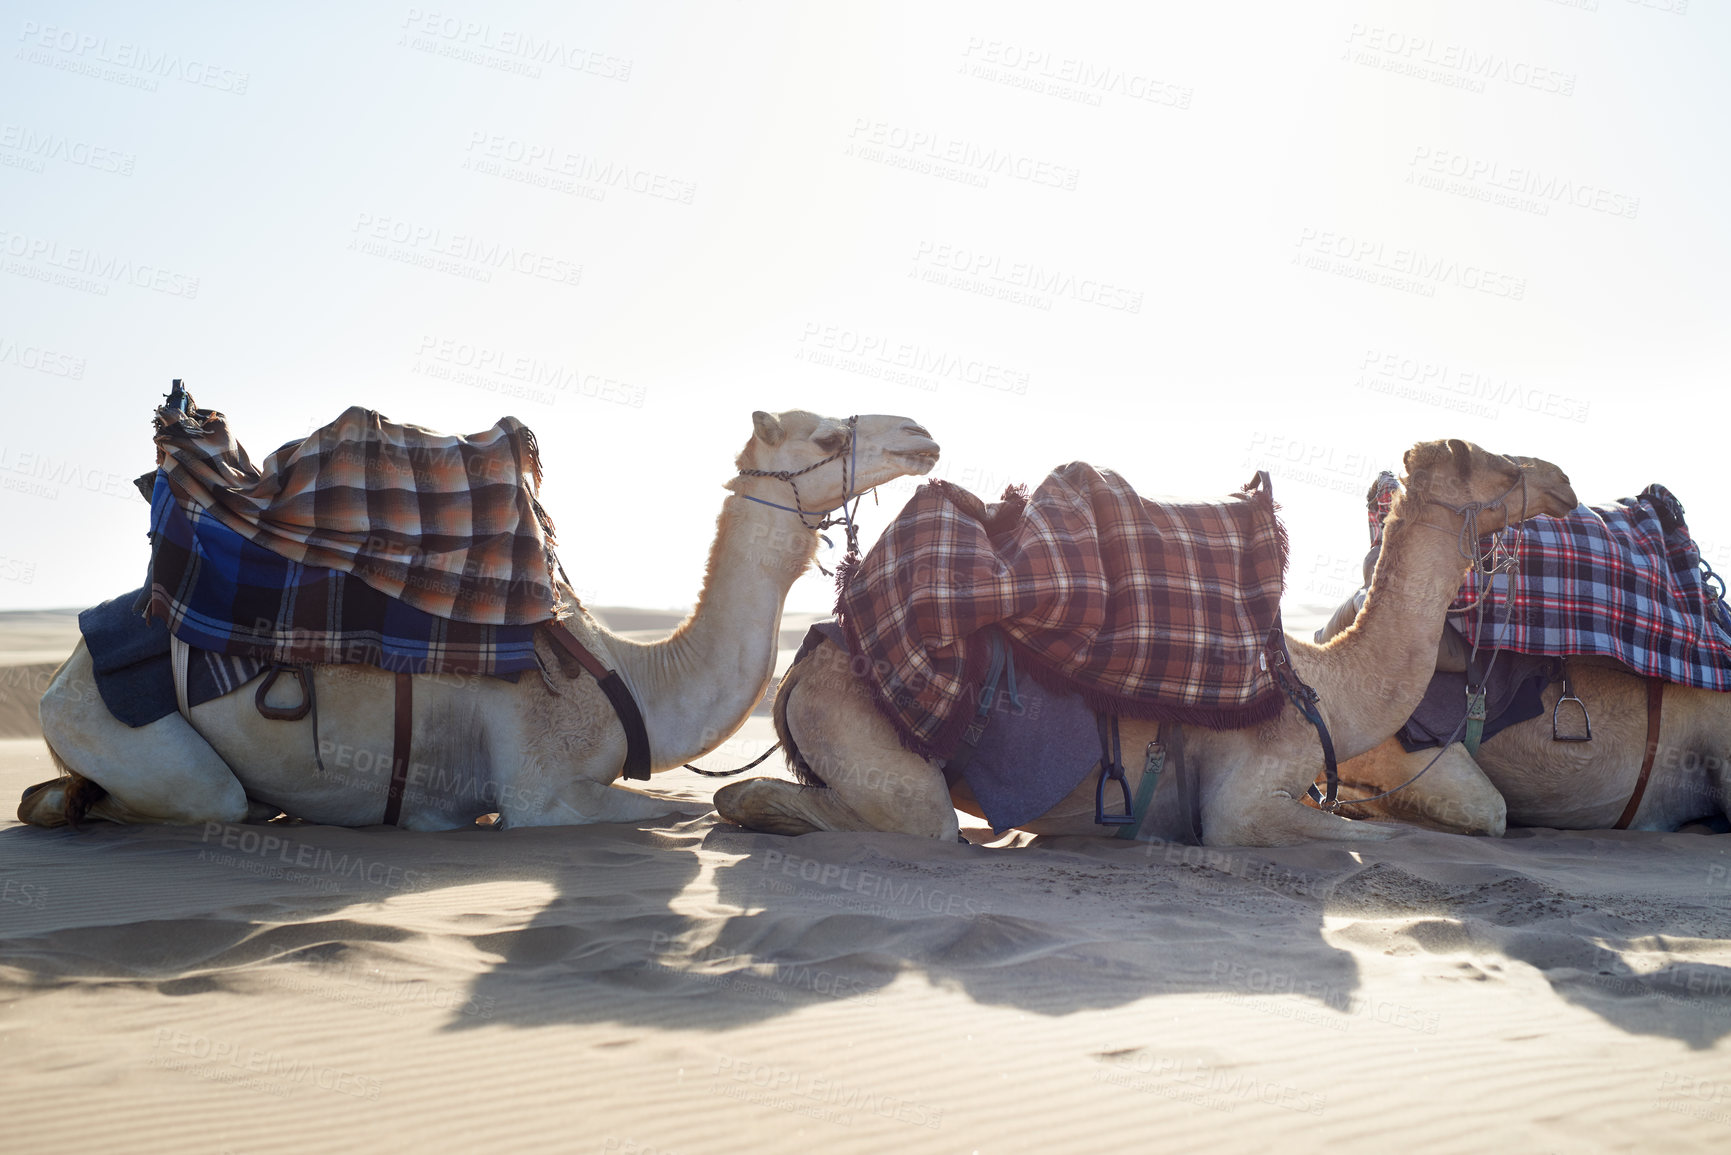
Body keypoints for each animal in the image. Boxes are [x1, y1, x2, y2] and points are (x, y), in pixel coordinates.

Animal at [20, 406, 941, 831]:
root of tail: (59, 677)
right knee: (204, 798)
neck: (633, 676)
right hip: (124, 730)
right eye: (826, 438)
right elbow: (674, 810)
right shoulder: (538, 788)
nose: (919, 433)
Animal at [713, 443, 1585, 848]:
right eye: (1493, 463)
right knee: (898, 817)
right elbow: (1354, 832)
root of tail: (806, 660)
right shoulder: (1242, 798)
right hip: (871, 741)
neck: (1322, 685)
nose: (1563, 479)